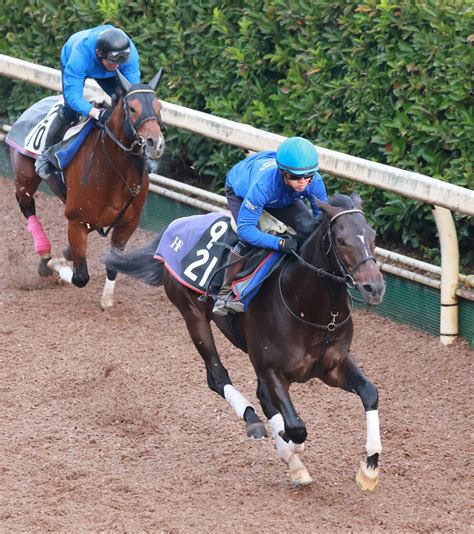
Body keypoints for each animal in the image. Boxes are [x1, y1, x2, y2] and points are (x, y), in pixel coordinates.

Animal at [9, 69, 166, 308]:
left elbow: (113, 262)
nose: (155, 143)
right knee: (27, 207)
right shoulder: (77, 220)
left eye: (159, 107)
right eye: (132, 108)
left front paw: (107, 299)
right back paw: (45, 256)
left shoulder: (128, 223)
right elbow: (80, 277)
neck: (114, 174)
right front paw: (56, 264)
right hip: (24, 178)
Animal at [103, 193, 386, 490]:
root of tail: (175, 226)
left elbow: (369, 392)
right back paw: (255, 423)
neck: (311, 309)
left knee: (262, 396)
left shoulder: (333, 366)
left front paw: (370, 468)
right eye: (342, 240)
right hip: (193, 315)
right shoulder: (273, 370)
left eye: (373, 236)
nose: (375, 287)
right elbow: (296, 428)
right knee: (217, 377)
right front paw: (290, 446)